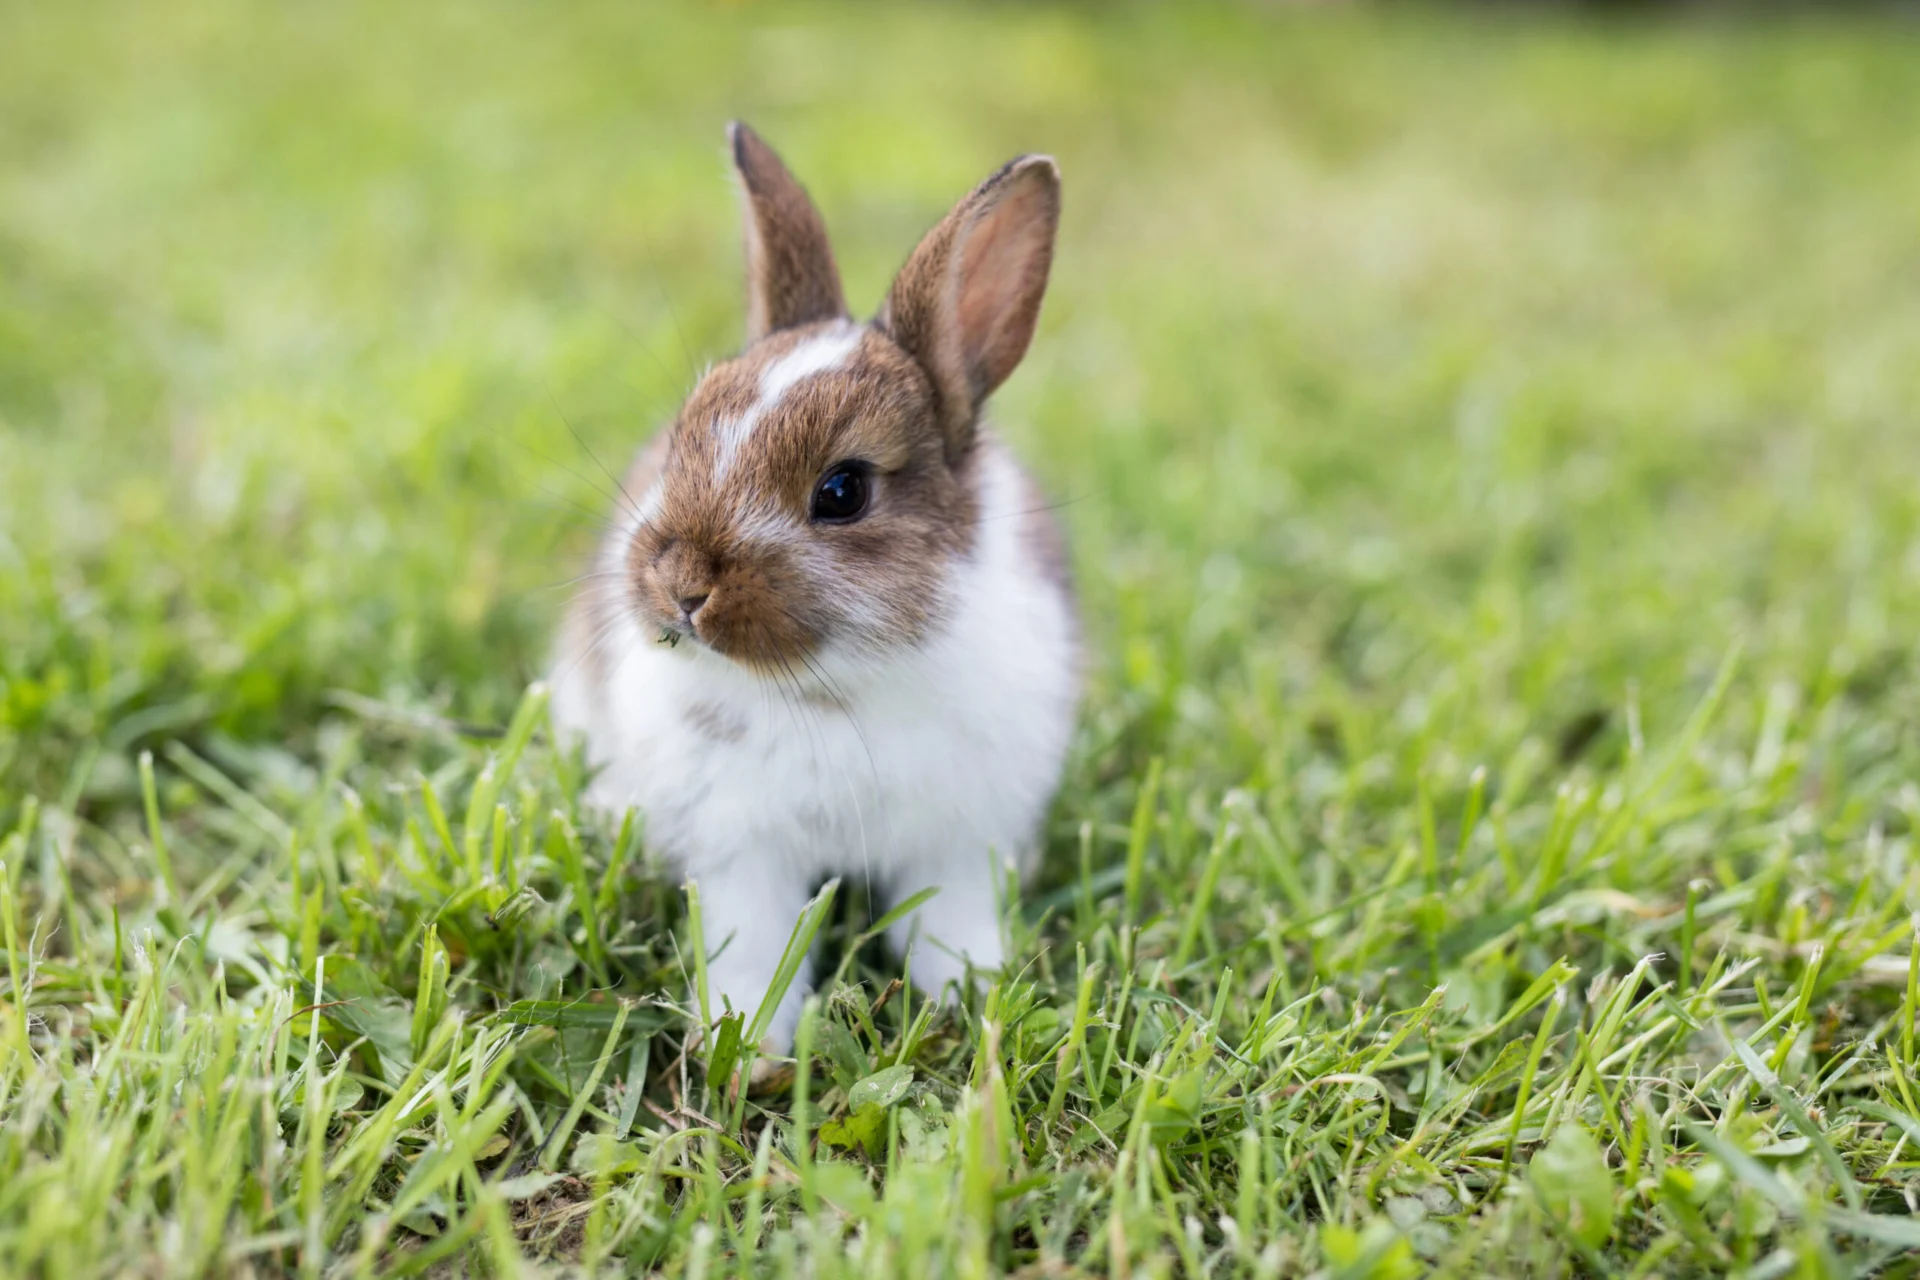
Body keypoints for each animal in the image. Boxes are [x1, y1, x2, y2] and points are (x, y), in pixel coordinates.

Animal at [550, 123, 1078, 1050]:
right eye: (683, 436)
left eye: (843, 492)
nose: (682, 585)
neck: (840, 681)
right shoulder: (742, 847)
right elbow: (755, 940)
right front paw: (747, 1041)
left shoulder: (961, 839)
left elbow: (949, 921)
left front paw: (968, 999)